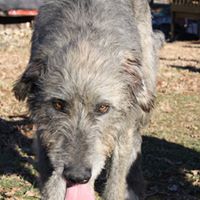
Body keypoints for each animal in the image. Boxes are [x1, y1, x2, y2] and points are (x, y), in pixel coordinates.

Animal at [13, 0, 163, 200]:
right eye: (58, 104)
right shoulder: (44, 134)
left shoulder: (124, 128)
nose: (77, 176)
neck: (84, 35)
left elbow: (117, 178)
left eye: (103, 108)